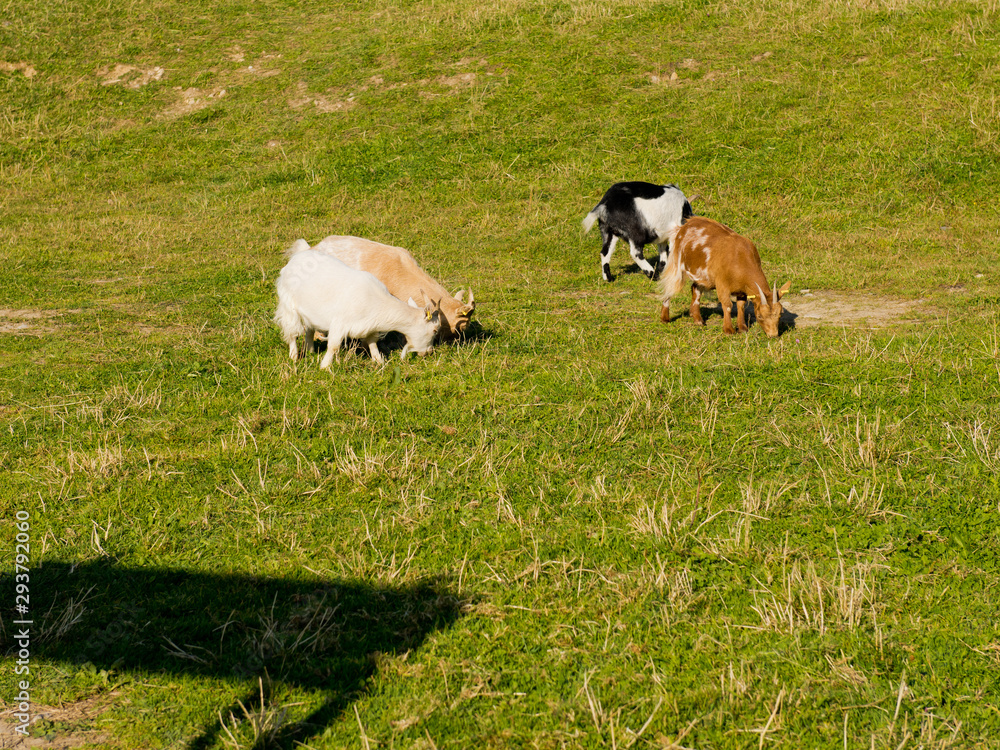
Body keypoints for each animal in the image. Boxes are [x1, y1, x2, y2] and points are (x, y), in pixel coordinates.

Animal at [274, 243, 441, 368]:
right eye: (435, 329)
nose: (429, 352)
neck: (375, 300)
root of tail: (297, 257)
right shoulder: (340, 323)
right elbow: (333, 345)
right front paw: (325, 367)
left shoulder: (369, 326)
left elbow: (373, 343)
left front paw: (379, 361)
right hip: (288, 305)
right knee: (292, 332)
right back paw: (294, 356)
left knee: (309, 330)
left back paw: (310, 351)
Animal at [657, 217, 790, 337]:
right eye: (760, 316)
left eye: (780, 314)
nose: (773, 335)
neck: (740, 258)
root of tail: (684, 226)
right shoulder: (722, 283)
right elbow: (727, 305)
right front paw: (729, 330)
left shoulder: (742, 289)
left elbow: (741, 305)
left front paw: (742, 328)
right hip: (676, 262)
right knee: (670, 286)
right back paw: (665, 318)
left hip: (703, 276)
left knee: (695, 289)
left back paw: (698, 320)